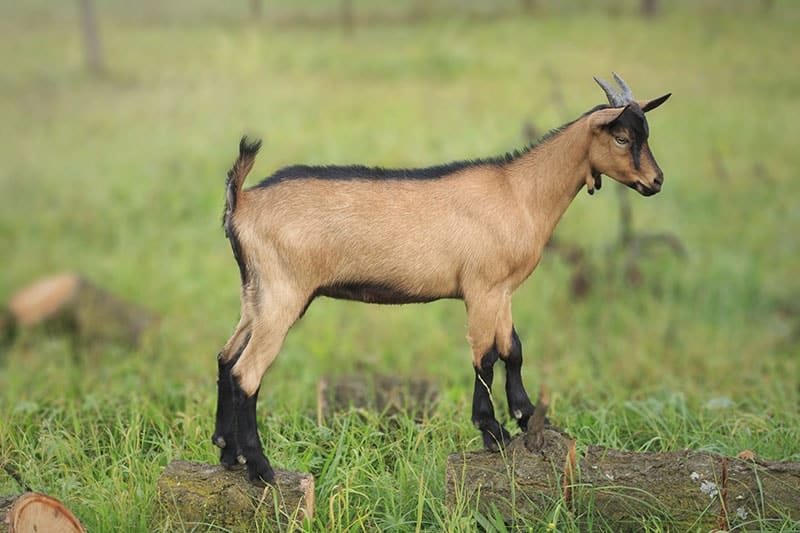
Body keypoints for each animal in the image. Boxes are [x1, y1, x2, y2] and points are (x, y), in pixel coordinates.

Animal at [212, 73, 671, 484]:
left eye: (645, 133)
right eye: (622, 138)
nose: (656, 181)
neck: (520, 192)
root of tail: (243, 201)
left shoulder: (501, 290)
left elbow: (513, 349)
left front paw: (524, 416)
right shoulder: (481, 288)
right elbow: (485, 357)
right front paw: (493, 432)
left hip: (255, 293)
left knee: (226, 357)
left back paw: (227, 452)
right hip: (283, 292)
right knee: (247, 373)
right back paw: (261, 469)